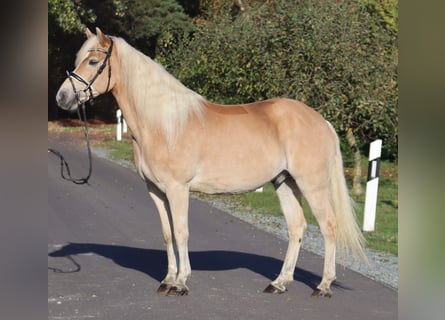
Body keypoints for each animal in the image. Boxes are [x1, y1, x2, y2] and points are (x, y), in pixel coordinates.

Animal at [55, 27, 364, 298]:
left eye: (93, 61)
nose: (62, 97)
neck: (164, 124)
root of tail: (321, 121)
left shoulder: (178, 189)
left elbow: (181, 233)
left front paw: (180, 283)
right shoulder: (156, 191)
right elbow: (167, 234)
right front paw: (167, 280)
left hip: (312, 185)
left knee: (329, 226)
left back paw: (323, 286)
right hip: (285, 182)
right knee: (297, 227)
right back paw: (279, 283)